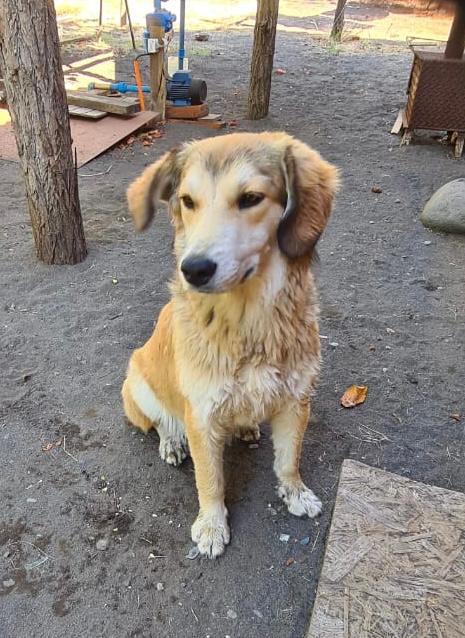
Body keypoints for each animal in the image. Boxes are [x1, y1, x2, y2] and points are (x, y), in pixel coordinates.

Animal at [121, 132, 338, 558]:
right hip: (136, 382)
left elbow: (289, 459)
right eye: (188, 201)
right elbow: (210, 481)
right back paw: (172, 443)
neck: (248, 324)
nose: (194, 269)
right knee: (160, 421)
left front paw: (295, 493)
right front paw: (211, 525)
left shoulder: (296, 400)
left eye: (251, 198)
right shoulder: (201, 416)